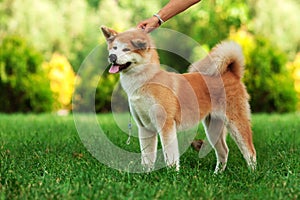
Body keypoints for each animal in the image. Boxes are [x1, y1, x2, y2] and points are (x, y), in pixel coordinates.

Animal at [100, 26, 255, 173]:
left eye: (126, 49)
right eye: (114, 48)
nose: (112, 57)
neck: (147, 80)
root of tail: (231, 73)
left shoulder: (166, 125)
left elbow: (170, 155)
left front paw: (173, 175)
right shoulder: (145, 127)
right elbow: (147, 157)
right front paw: (146, 174)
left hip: (236, 123)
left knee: (250, 152)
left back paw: (252, 174)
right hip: (213, 127)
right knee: (224, 151)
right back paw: (217, 175)